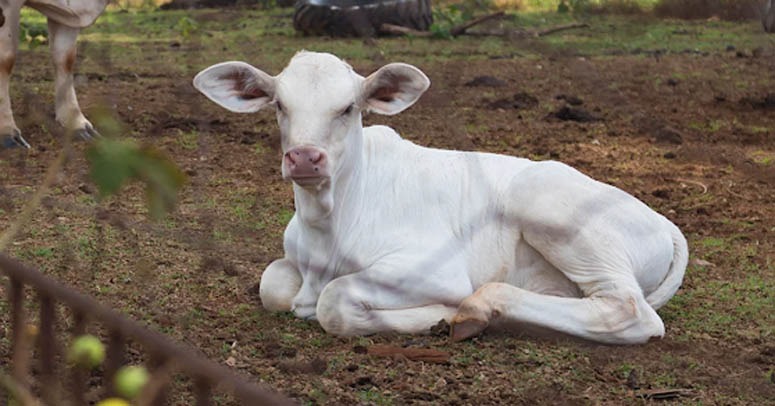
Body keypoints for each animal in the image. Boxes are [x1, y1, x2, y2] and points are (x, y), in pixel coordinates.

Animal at [194, 50, 692, 342]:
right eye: (280, 105)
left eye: (348, 108)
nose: (304, 158)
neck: (329, 224)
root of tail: (663, 222)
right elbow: (272, 284)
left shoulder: (433, 269)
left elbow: (333, 303)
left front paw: (438, 315)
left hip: (549, 206)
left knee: (628, 309)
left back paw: (477, 312)